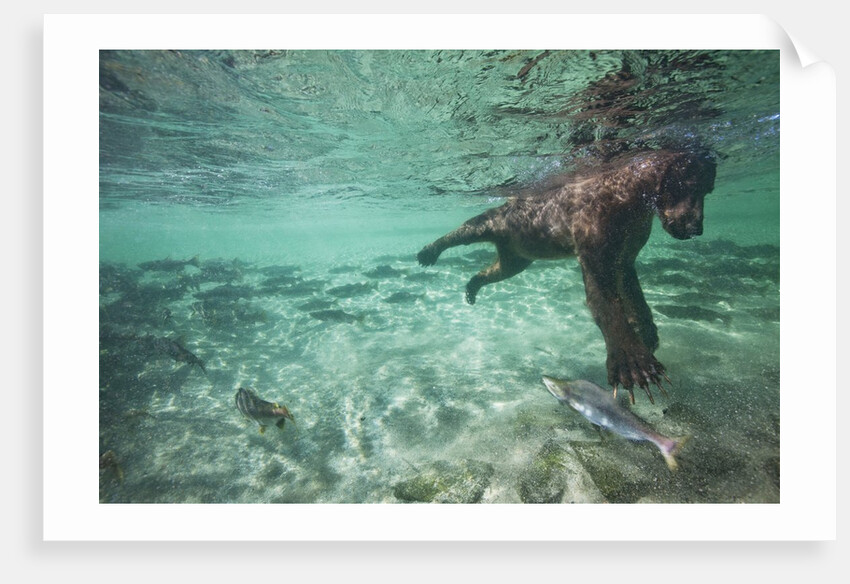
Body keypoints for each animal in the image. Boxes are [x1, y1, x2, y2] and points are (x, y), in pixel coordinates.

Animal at [417, 148, 717, 403]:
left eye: (708, 190)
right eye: (688, 185)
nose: (696, 227)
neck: (631, 200)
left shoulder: (627, 251)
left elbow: (633, 292)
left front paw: (648, 333)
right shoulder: (595, 240)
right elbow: (606, 303)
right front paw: (635, 364)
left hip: (518, 255)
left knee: (498, 269)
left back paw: (471, 287)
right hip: (496, 222)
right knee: (466, 230)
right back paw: (428, 252)